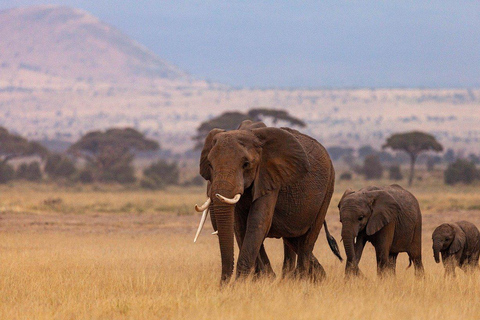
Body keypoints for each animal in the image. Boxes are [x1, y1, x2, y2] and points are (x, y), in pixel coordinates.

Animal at [193, 120, 340, 282]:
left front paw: (241, 283)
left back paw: (301, 279)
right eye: (210, 165)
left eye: (246, 164)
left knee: (307, 240)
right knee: (292, 239)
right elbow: (240, 226)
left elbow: (258, 222)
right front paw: (261, 279)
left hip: (328, 187)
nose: (223, 284)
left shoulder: (270, 176)